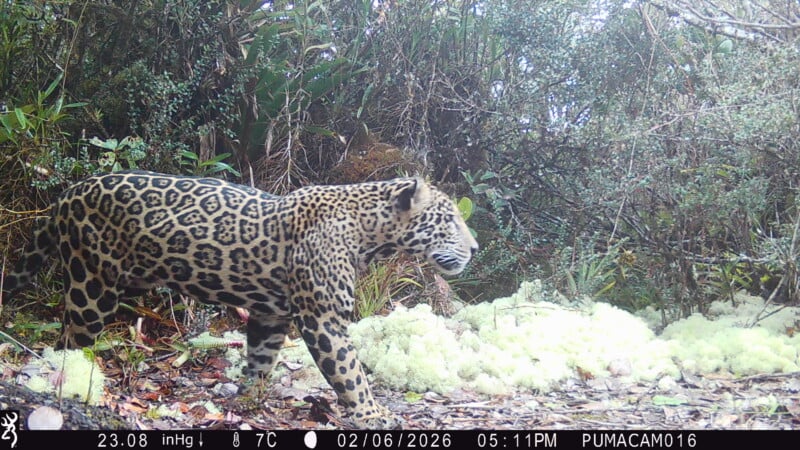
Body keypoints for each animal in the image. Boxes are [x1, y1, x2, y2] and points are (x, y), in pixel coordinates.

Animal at [1, 170, 478, 428]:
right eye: (450, 220)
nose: (474, 248)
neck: (370, 234)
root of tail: (66, 193)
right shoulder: (323, 318)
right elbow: (350, 372)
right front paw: (372, 413)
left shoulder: (271, 313)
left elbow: (261, 358)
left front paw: (249, 399)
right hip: (93, 284)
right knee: (71, 340)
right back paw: (76, 381)